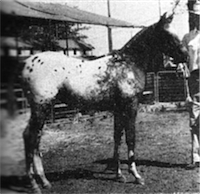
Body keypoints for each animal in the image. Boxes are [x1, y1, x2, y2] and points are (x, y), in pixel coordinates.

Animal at [21, 11, 188, 194]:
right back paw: (34, 184)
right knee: (29, 137)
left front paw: (119, 175)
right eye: (167, 34)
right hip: (40, 106)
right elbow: (130, 138)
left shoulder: (118, 109)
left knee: (36, 139)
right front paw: (136, 176)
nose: (185, 56)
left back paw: (44, 181)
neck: (128, 63)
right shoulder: (130, 107)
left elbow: (117, 137)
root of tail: (27, 63)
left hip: (43, 109)